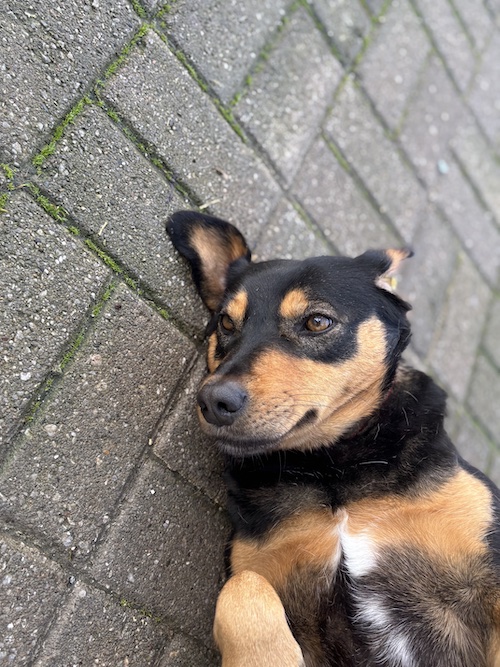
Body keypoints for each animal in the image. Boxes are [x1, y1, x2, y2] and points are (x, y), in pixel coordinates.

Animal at [167, 210, 500, 667]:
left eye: (317, 321)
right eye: (226, 323)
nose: (213, 401)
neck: (333, 466)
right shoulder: (264, 575)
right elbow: (241, 590)